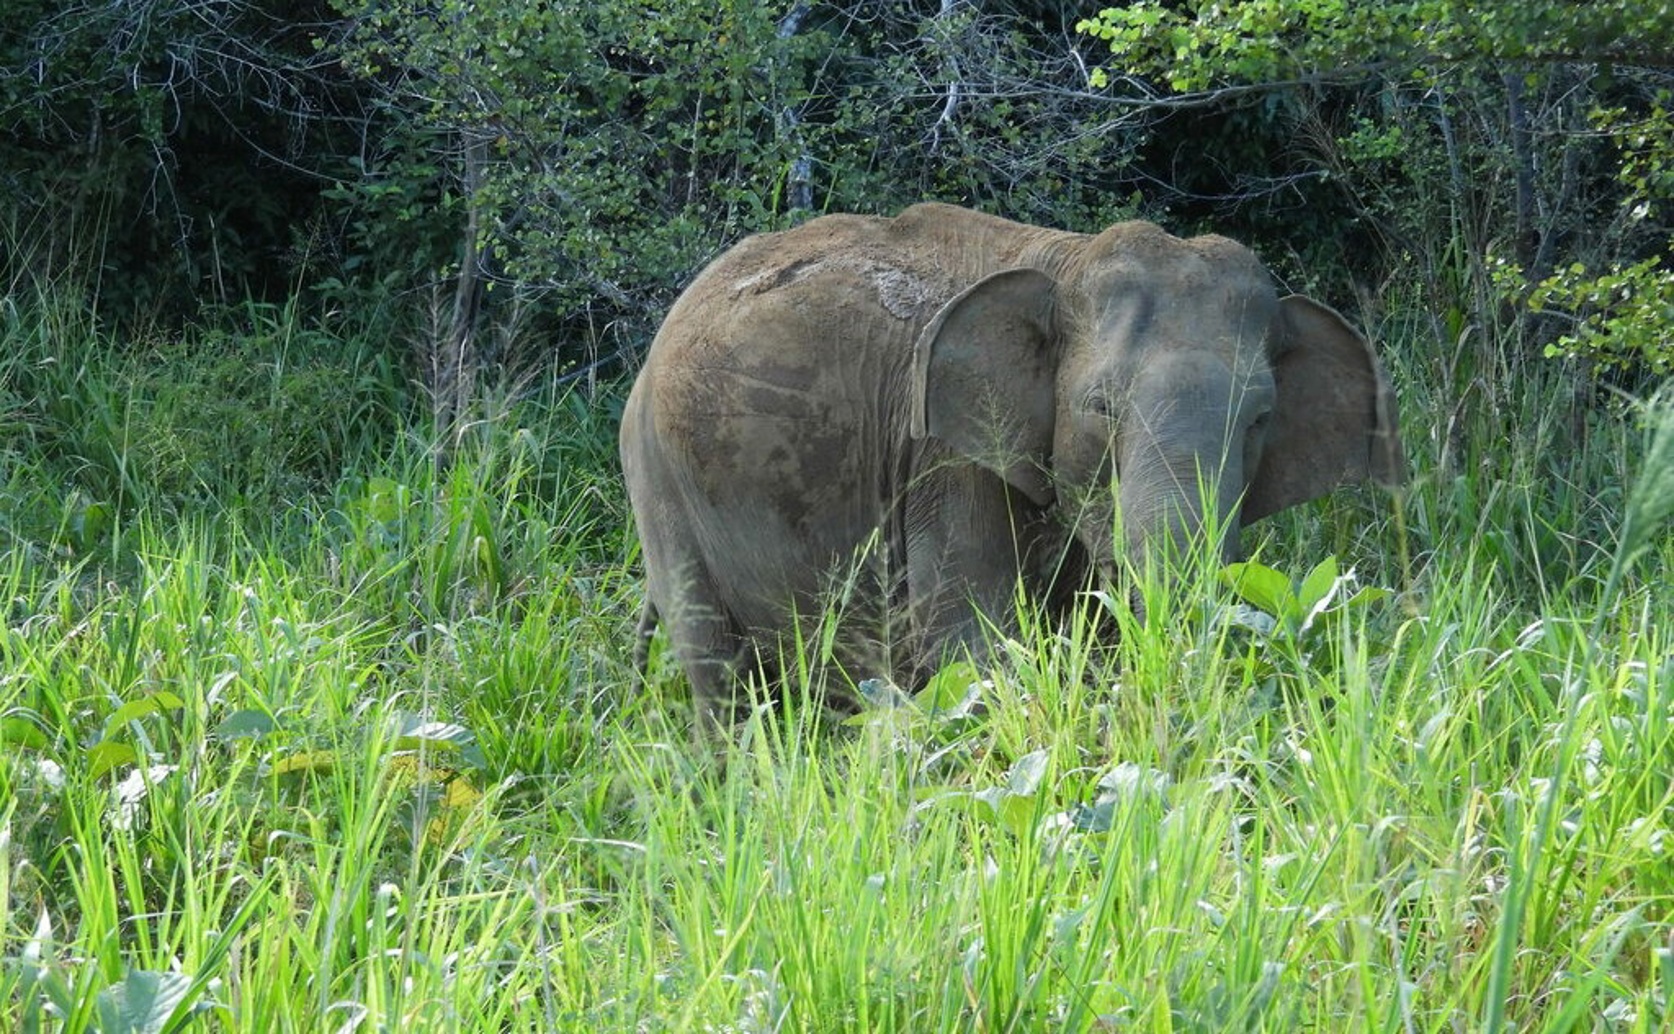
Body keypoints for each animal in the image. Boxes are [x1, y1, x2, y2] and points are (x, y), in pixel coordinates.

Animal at [620, 203, 1403, 727]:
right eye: (1100, 408)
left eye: (1259, 419)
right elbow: (970, 642)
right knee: (715, 670)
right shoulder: (944, 456)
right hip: (662, 487)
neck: (1068, 260)